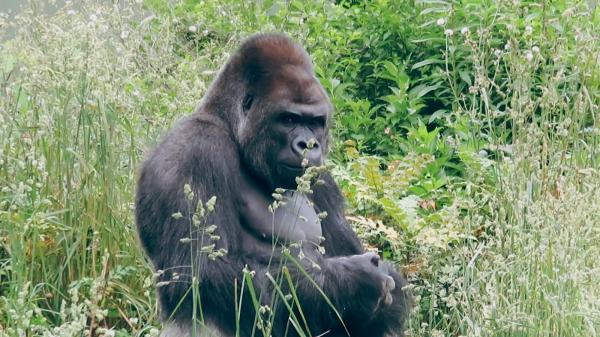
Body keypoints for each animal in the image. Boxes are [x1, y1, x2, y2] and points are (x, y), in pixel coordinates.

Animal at [135, 32, 408, 336]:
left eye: (316, 122)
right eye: (288, 119)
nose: (308, 145)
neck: (230, 129)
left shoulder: (320, 176)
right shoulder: (194, 150)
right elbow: (204, 273)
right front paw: (355, 282)